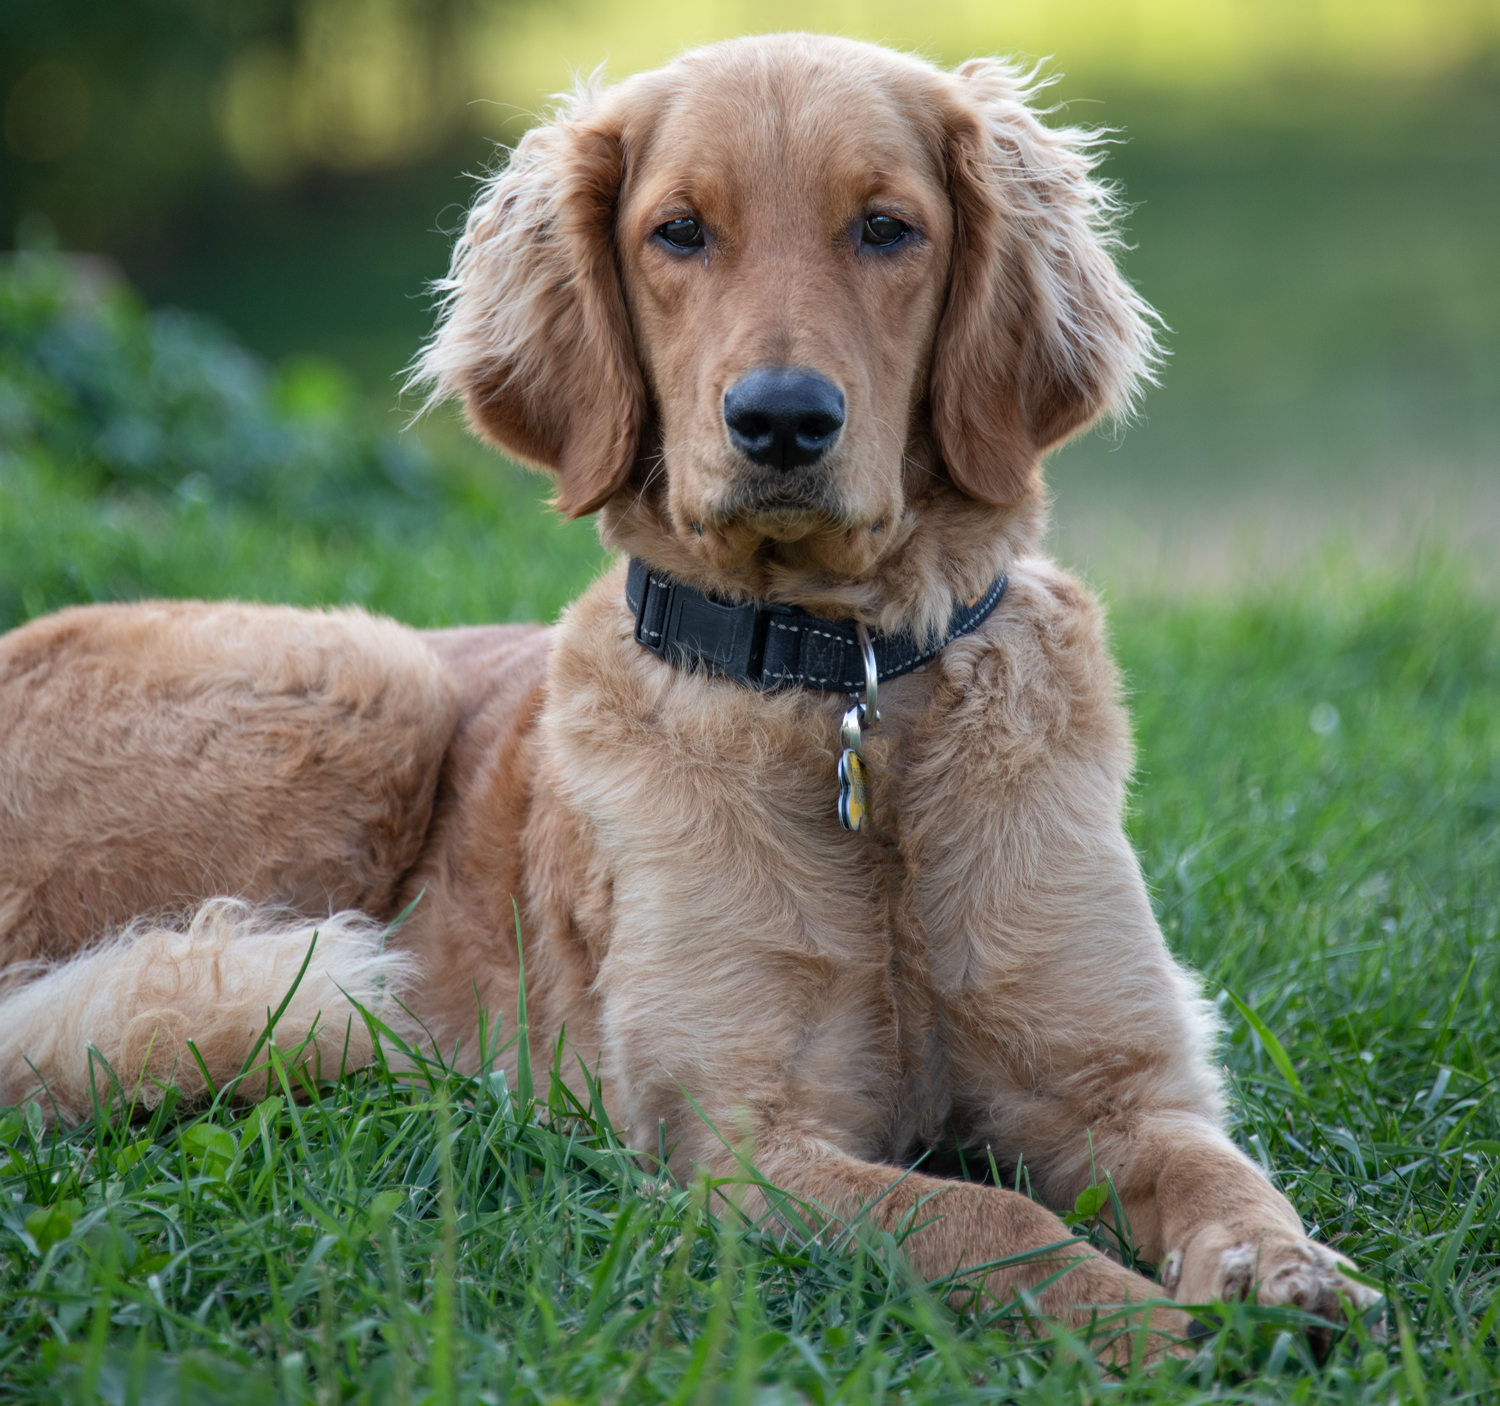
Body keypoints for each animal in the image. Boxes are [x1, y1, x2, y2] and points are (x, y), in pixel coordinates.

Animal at [2, 33, 1380, 1350]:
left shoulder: (1117, 1080)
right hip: (376, 679)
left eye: (888, 228)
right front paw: (1150, 1325)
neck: (844, 684)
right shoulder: (742, 1139)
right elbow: (983, 1219)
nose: (782, 420)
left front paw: (1286, 1275)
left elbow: (1219, 1174)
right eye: (679, 231)